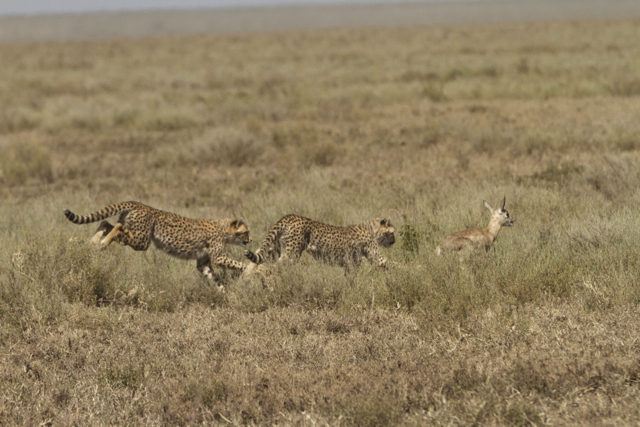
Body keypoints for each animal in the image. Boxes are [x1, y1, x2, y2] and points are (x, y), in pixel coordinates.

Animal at [64, 201, 250, 280]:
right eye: (246, 232)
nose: (251, 239)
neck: (223, 229)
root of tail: (138, 203)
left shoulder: (203, 262)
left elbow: (213, 278)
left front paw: (223, 293)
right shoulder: (217, 258)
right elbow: (236, 263)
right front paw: (249, 269)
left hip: (135, 232)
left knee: (106, 223)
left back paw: (94, 242)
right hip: (141, 240)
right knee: (118, 227)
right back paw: (102, 244)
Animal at [245, 216, 396, 272]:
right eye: (392, 233)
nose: (394, 241)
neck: (372, 228)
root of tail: (290, 216)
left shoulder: (354, 262)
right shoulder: (374, 257)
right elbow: (390, 263)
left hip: (275, 250)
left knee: (261, 265)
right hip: (292, 254)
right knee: (271, 268)